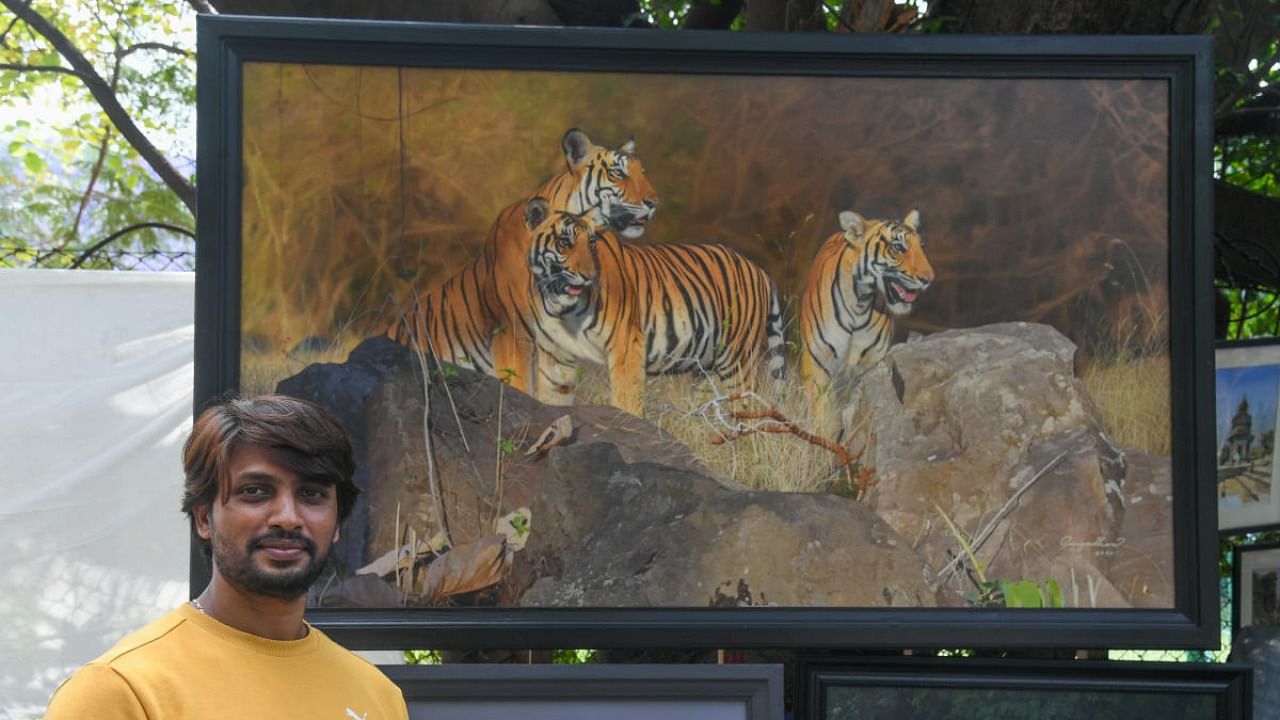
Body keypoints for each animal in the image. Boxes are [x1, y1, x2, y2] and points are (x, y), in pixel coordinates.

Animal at [514, 202, 783, 415]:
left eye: (591, 243)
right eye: (564, 243)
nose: (589, 276)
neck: (560, 303)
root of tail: (759, 270)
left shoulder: (625, 344)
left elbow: (626, 401)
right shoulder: (555, 354)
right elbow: (552, 401)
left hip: (737, 360)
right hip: (707, 368)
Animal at [798, 207, 931, 427]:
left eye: (921, 247)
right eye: (898, 248)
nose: (929, 279)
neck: (859, 304)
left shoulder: (871, 364)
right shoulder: (818, 363)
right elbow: (820, 413)